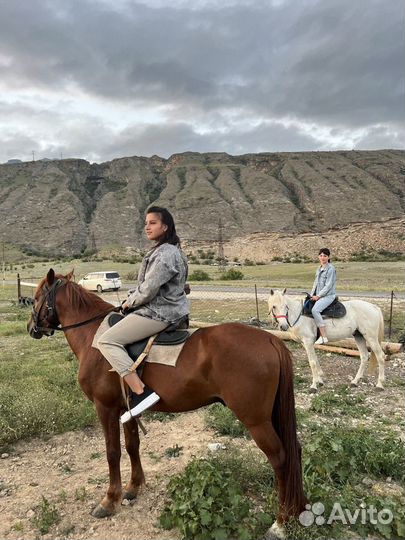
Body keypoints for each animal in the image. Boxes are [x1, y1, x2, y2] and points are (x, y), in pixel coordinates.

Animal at [27, 270, 306, 536]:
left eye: (38, 296)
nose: (31, 327)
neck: (95, 337)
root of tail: (270, 339)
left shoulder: (105, 407)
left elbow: (112, 453)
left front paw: (109, 500)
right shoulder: (126, 409)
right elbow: (132, 446)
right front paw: (133, 487)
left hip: (256, 421)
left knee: (281, 458)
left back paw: (281, 523)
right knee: (295, 453)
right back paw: (299, 511)